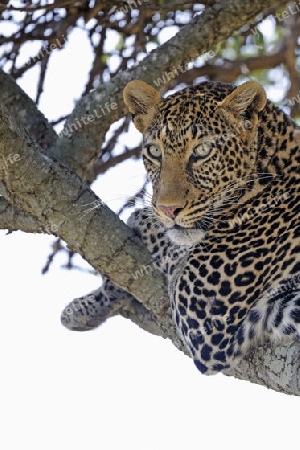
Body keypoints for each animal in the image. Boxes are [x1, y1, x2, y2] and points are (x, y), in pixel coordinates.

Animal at [62, 79, 300, 374]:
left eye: (202, 151)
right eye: (155, 151)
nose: (168, 209)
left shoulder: (203, 315)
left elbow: (165, 241)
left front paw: (140, 220)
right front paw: (83, 308)